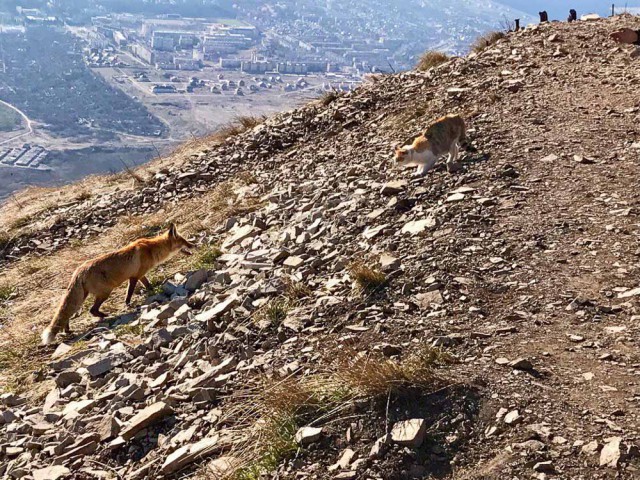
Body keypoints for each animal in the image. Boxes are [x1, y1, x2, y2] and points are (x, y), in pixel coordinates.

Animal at [42, 225, 194, 344]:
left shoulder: (141, 275)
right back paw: (105, 315)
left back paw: (67, 330)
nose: (194, 245)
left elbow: (148, 285)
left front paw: (152, 292)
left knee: (68, 314)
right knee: (92, 310)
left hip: (82, 298)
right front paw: (128, 305)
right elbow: (129, 293)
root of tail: (79, 271)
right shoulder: (134, 277)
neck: (151, 249)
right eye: (184, 241)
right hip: (105, 292)